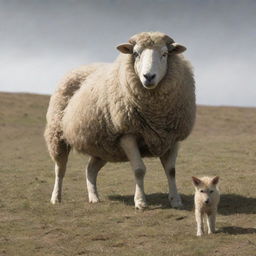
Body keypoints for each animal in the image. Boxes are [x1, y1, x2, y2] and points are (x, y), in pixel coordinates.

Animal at [44, 31, 196, 209]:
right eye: (136, 54)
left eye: (165, 54)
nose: (148, 76)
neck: (156, 114)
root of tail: (80, 68)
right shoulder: (127, 134)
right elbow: (139, 170)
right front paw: (140, 202)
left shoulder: (174, 137)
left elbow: (171, 170)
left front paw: (176, 200)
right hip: (57, 135)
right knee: (60, 169)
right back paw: (56, 197)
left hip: (103, 146)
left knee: (90, 169)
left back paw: (94, 197)